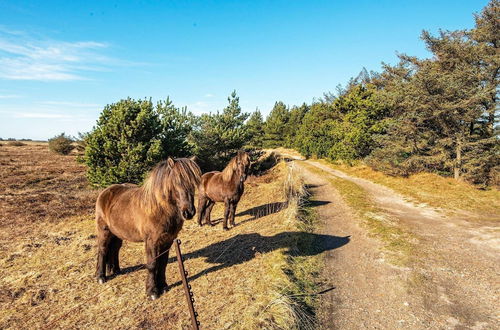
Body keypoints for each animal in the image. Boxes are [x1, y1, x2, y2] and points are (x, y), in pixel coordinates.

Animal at [94, 157, 200, 300]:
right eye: (177, 181)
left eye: (193, 182)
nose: (189, 212)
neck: (159, 208)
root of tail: (105, 192)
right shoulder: (151, 241)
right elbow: (152, 264)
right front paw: (152, 292)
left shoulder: (167, 240)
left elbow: (163, 263)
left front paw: (163, 286)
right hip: (104, 230)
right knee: (103, 249)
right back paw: (100, 277)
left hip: (117, 234)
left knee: (114, 249)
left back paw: (115, 270)